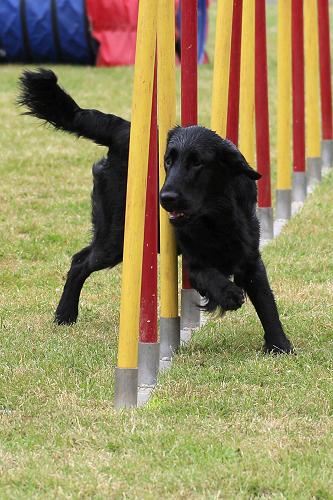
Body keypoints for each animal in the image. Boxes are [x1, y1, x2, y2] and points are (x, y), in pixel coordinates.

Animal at [19, 68, 292, 354]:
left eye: (198, 163)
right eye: (168, 162)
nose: (166, 198)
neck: (214, 217)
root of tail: (123, 129)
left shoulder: (250, 255)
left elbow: (266, 301)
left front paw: (280, 345)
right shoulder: (194, 262)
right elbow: (210, 276)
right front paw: (230, 295)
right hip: (116, 237)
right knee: (80, 261)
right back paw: (65, 314)